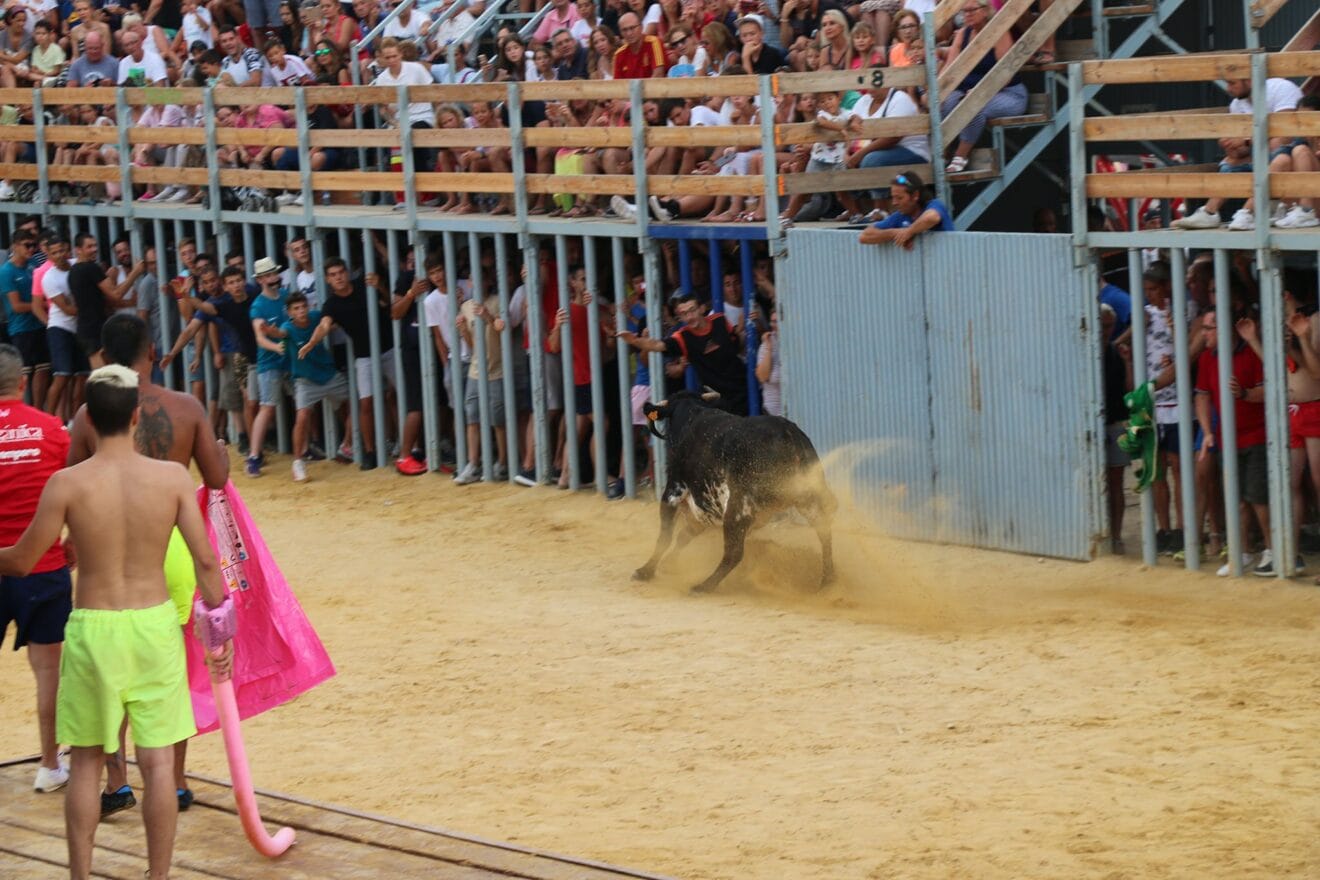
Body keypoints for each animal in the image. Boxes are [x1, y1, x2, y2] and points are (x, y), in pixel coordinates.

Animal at [633, 390, 836, 594]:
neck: (691, 416)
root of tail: (788, 435)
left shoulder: (673, 491)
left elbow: (665, 536)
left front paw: (645, 571)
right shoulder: (701, 508)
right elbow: (684, 535)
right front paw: (668, 563)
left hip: (737, 508)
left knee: (734, 553)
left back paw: (703, 586)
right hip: (808, 498)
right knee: (824, 532)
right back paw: (827, 581)